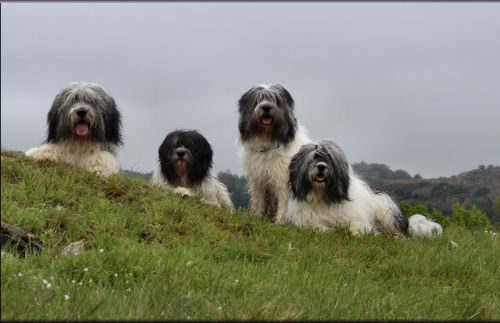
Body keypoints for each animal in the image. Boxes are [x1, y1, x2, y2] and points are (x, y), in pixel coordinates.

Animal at [284, 140, 444, 239]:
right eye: (313, 158)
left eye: (329, 158)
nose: (321, 167)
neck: (322, 195)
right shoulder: (304, 219)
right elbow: (316, 226)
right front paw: (329, 230)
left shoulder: (356, 217)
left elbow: (357, 227)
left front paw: (363, 233)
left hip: (385, 206)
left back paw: (397, 236)